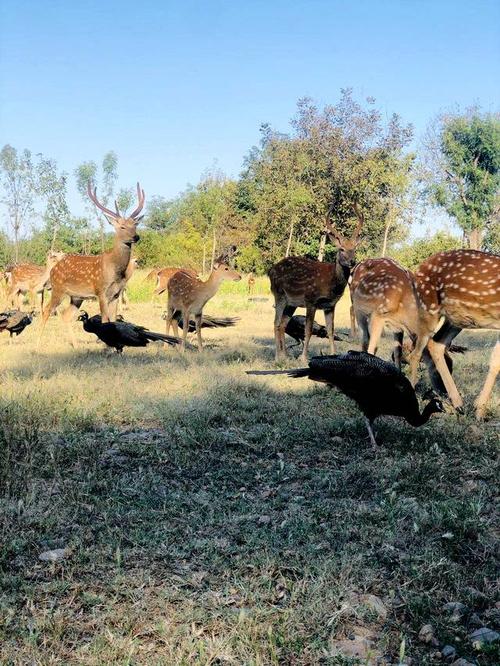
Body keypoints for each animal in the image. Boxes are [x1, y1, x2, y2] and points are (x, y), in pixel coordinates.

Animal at [38, 182, 144, 347]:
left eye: (135, 225)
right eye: (122, 226)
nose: (136, 236)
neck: (116, 270)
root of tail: (53, 269)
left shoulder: (115, 294)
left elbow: (114, 319)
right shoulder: (101, 291)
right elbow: (105, 319)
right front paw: (106, 345)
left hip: (77, 297)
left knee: (66, 315)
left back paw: (75, 345)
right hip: (58, 289)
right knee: (47, 311)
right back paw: (37, 344)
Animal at [268, 203, 364, 362]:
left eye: (354, 249)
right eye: (341, 249)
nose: (352, 261)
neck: (332, 284)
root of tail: (270, 270)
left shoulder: (330, 305)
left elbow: (331, 330)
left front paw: (333, 354)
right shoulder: (311, 300)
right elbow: (308, 329)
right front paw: (303, 357)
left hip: (291, 303)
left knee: (282, 324)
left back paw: (286, 356)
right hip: (279, 294)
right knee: (275, 322)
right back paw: (277, 357)